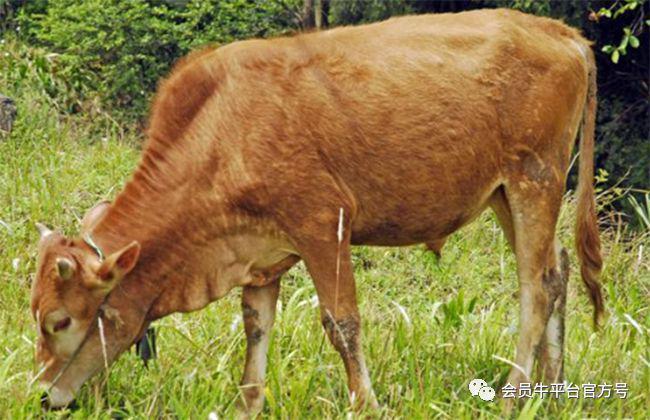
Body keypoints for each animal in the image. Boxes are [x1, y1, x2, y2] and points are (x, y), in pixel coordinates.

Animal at [30, 9, 600, 414]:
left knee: (534, 289)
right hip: (506, 194)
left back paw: (512, 396)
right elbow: (256, 329)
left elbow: (341, 323)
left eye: (60, 321)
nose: (42, 396)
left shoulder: (324, 226)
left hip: (534, 181)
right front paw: (248, 406)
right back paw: (552, 392)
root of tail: (561, 33)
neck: (222, 129)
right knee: (557, 272)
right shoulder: (260, 256)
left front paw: (366, 404)